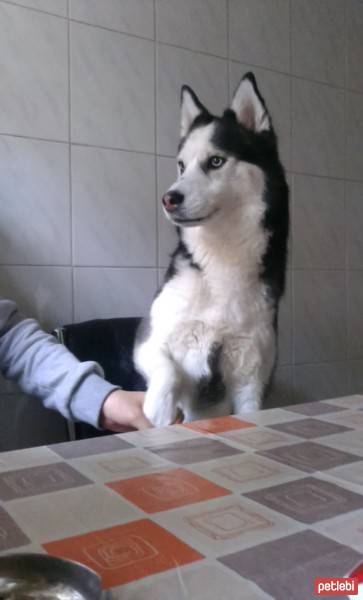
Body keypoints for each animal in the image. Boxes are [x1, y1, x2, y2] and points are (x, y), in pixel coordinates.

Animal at [134, 71, 290, 426]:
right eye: (181, 165)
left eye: (216, 161)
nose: (169, 198)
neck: (221, 254)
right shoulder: (149, 338)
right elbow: (167, 370)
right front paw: (158, 410)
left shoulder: (251, 376)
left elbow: (250, 413)